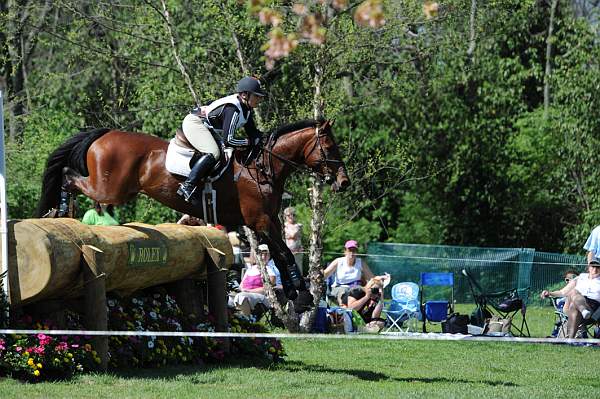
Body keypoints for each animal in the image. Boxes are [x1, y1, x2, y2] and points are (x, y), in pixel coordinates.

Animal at [35, 120, 350, 308]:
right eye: (330, 146)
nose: (344, 182)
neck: (263, 167)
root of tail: (106, 133)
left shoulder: (268, 221)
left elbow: (279, 254)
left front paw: (296, 293)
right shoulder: (260, 221)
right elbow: (283, 252)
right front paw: (304, 295)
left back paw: (58, 214)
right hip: (108, 189)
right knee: (68, 175)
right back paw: (58, 211)